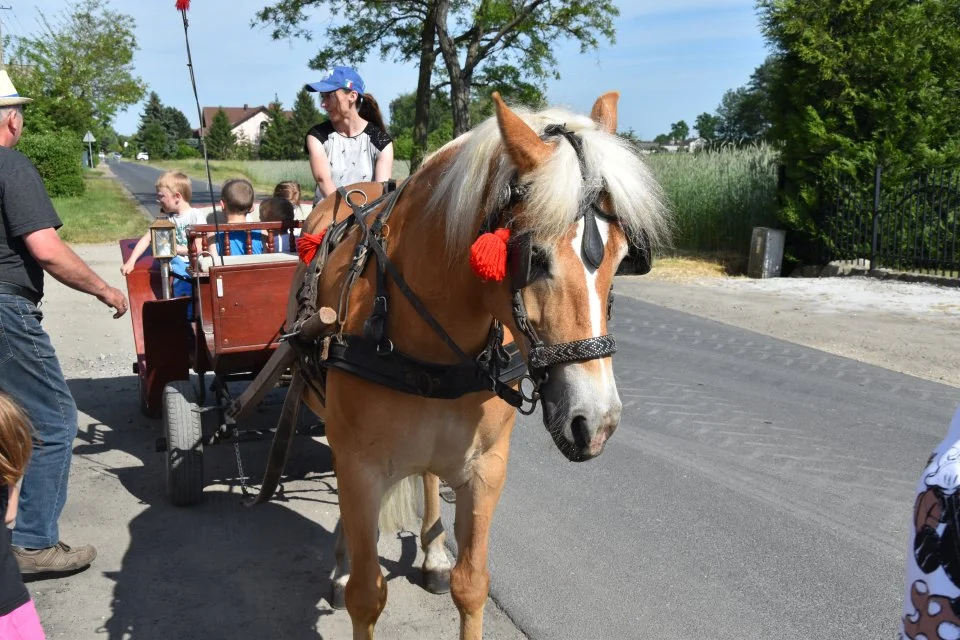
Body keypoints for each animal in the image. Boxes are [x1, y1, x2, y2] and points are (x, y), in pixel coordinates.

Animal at [260, 91, 668, 640]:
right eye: (534, 257)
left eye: (623, 258)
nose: (596, 423)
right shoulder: (361, 467)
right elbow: (366, 595)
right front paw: (349, 570)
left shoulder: (486, 469)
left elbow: (471, 584)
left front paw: (444, 564)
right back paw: (344, 561)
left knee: (431, 478)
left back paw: (432, 554)